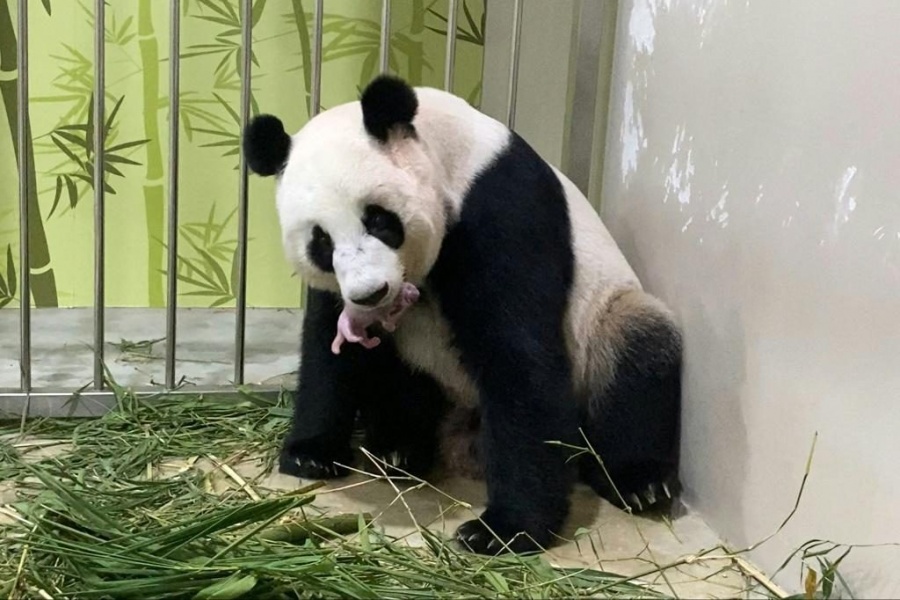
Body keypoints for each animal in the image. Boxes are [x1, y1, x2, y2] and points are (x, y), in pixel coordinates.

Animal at [242, 75, 683, 555]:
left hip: (603, 323)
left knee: (637, 353)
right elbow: (329, 346)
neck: (449, 155)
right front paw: (311, 453)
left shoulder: (502, 207)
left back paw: (639, 482)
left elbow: (518, 354)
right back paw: (399, 446)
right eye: (321, 241)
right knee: (398, 379)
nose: (371, 293)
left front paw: (503, 530)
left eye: (378, 220)